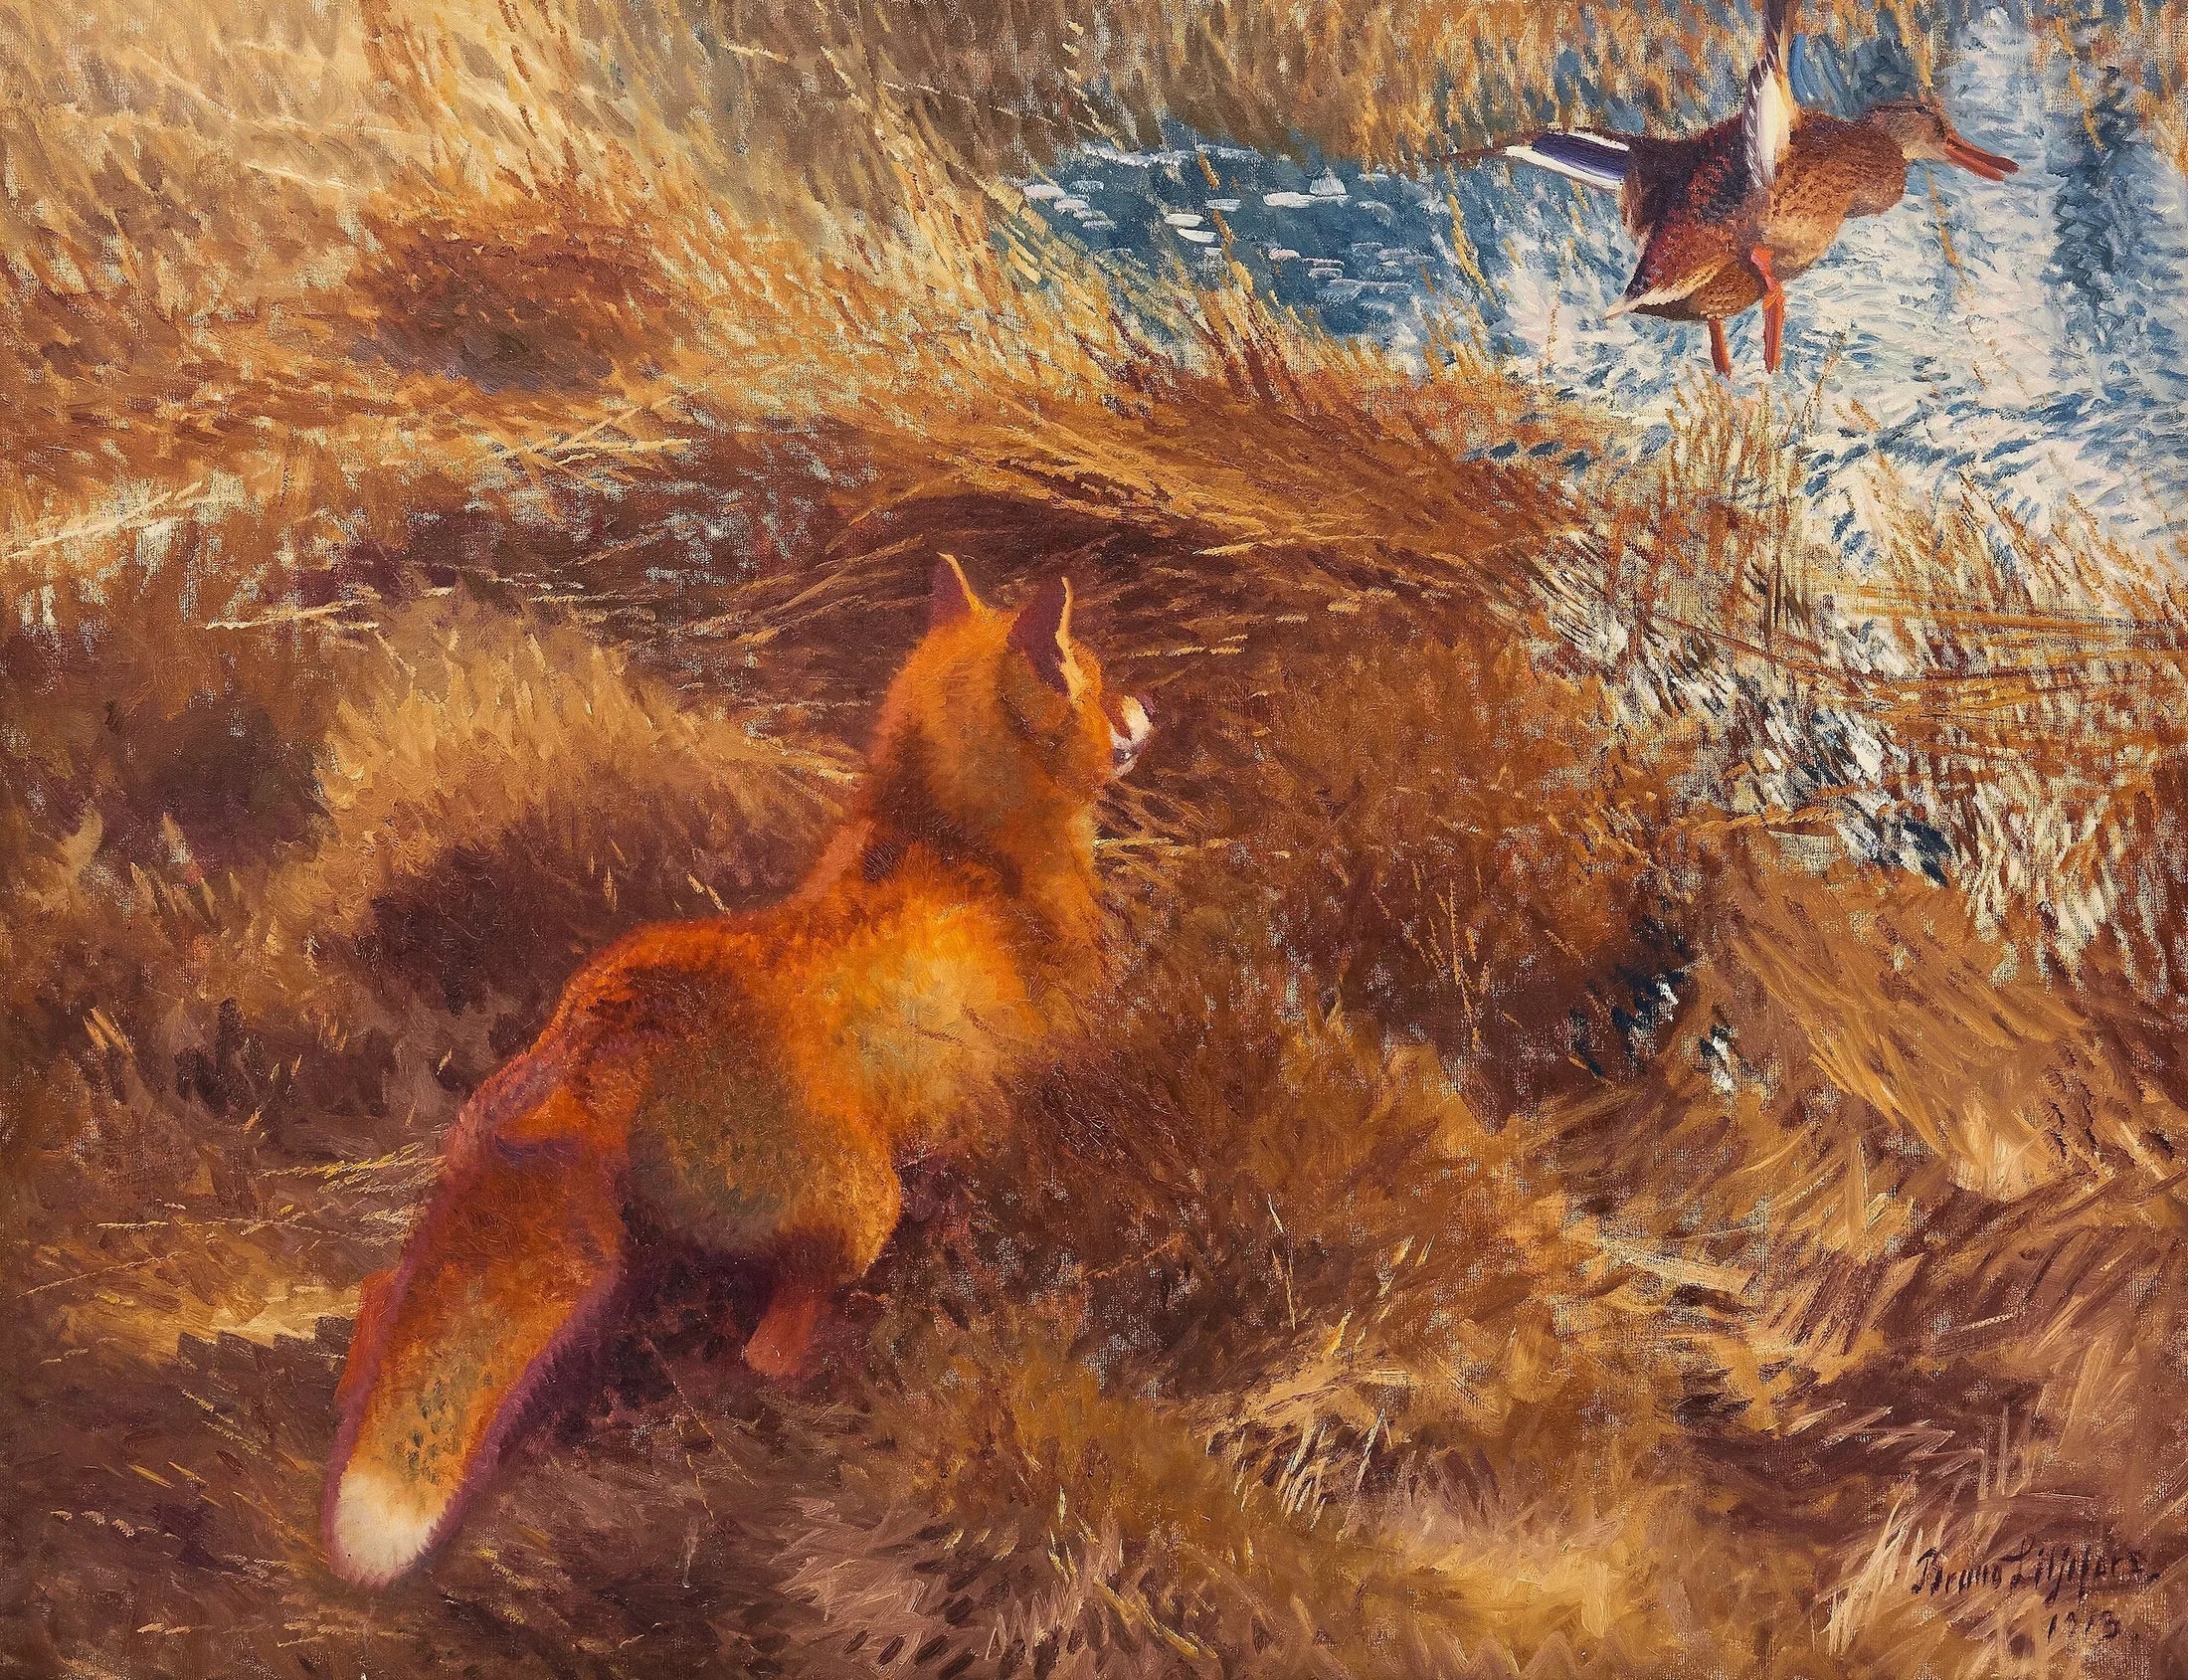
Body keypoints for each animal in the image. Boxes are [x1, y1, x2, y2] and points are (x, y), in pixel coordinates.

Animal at [322, 559, 1152, 1587]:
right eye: (1094, 677)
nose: (1147, 709)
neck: (951, 841)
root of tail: (608, 1027)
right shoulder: (1012, 1092)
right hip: (857, 1207)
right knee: (773, 1351)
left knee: (381, 1297)